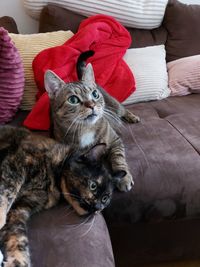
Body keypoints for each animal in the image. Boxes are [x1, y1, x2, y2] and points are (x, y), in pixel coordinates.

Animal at [0, 126, 119, 267]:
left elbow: (18, 237)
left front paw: (18, 262)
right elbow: (7, 192)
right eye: (93, 185)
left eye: (105, 199)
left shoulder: (20, 208)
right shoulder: (17, 162)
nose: (97, 207)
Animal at [44, 54, 140, 193]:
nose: (92, 105)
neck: (86, 129)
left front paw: (124, 178)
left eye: (94, 94)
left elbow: (119, 158)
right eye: (73, 99)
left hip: (115, 105)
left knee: (123, 109)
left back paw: (132, 117)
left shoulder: (115, 140)